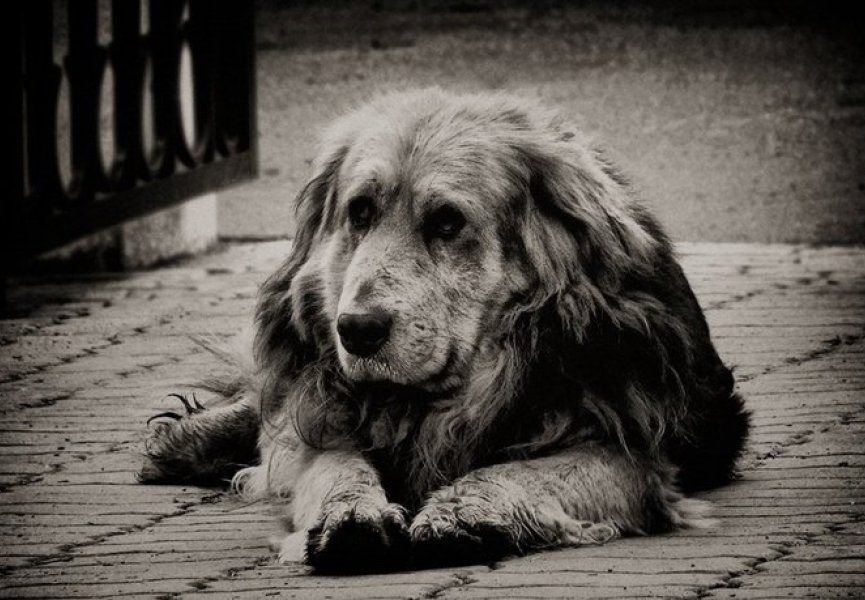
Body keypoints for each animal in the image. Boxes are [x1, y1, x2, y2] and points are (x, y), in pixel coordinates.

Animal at [138, 88, 744, 572]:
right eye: (360, 213)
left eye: (448, 223)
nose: (356, 330)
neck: (442, 402)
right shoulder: (324, 422)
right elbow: (329, 462)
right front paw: (348, 516)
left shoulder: (636, 455)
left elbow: (521, 472)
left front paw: (463, 513)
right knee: (269, 402)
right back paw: (185, 439)